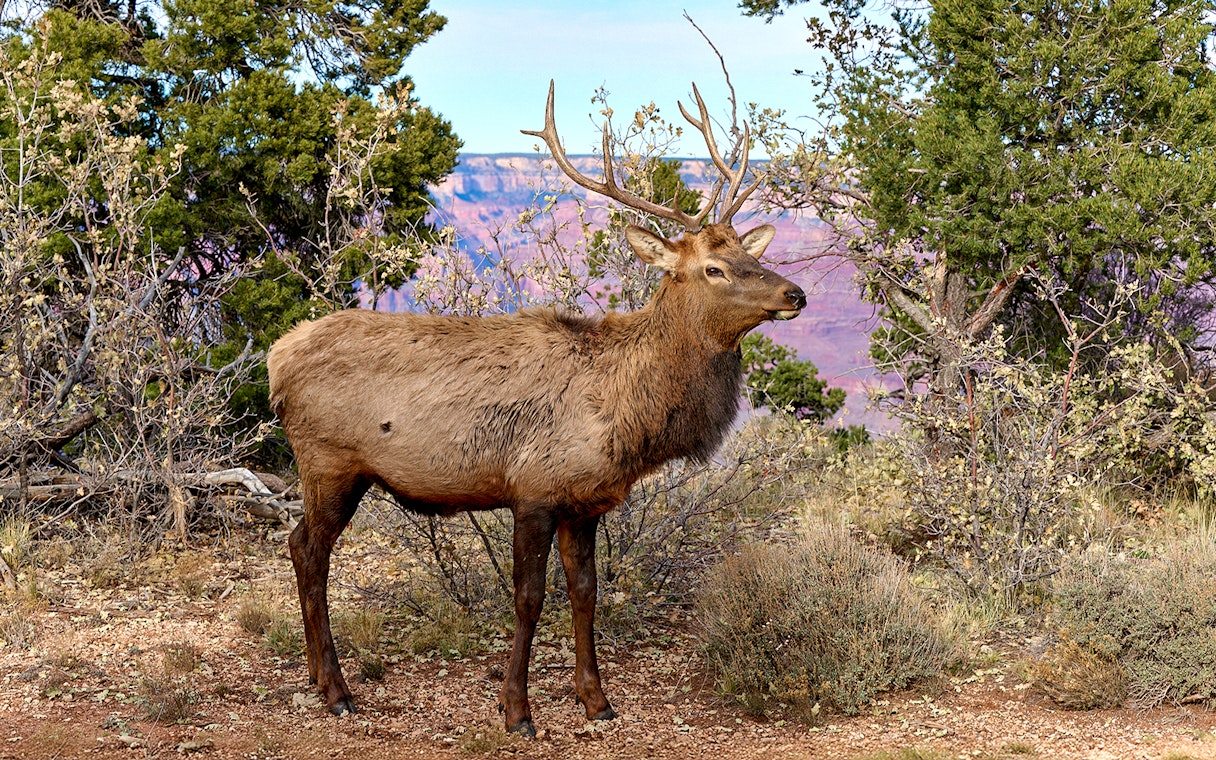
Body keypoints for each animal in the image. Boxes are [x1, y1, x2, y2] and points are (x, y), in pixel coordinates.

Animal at [266, 80, 807, 737]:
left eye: (751, 256)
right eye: (714, 268)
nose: (795, 293)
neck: (628, 415)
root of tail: (275, 358)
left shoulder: (586, 501)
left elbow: (585, 593)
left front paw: (597, 700)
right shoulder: (534, 489)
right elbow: (528, 598)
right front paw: (516, 710)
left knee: (300, 545)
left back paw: (318, 679)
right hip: (329, 460)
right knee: (307, 549)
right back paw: (337, 690)